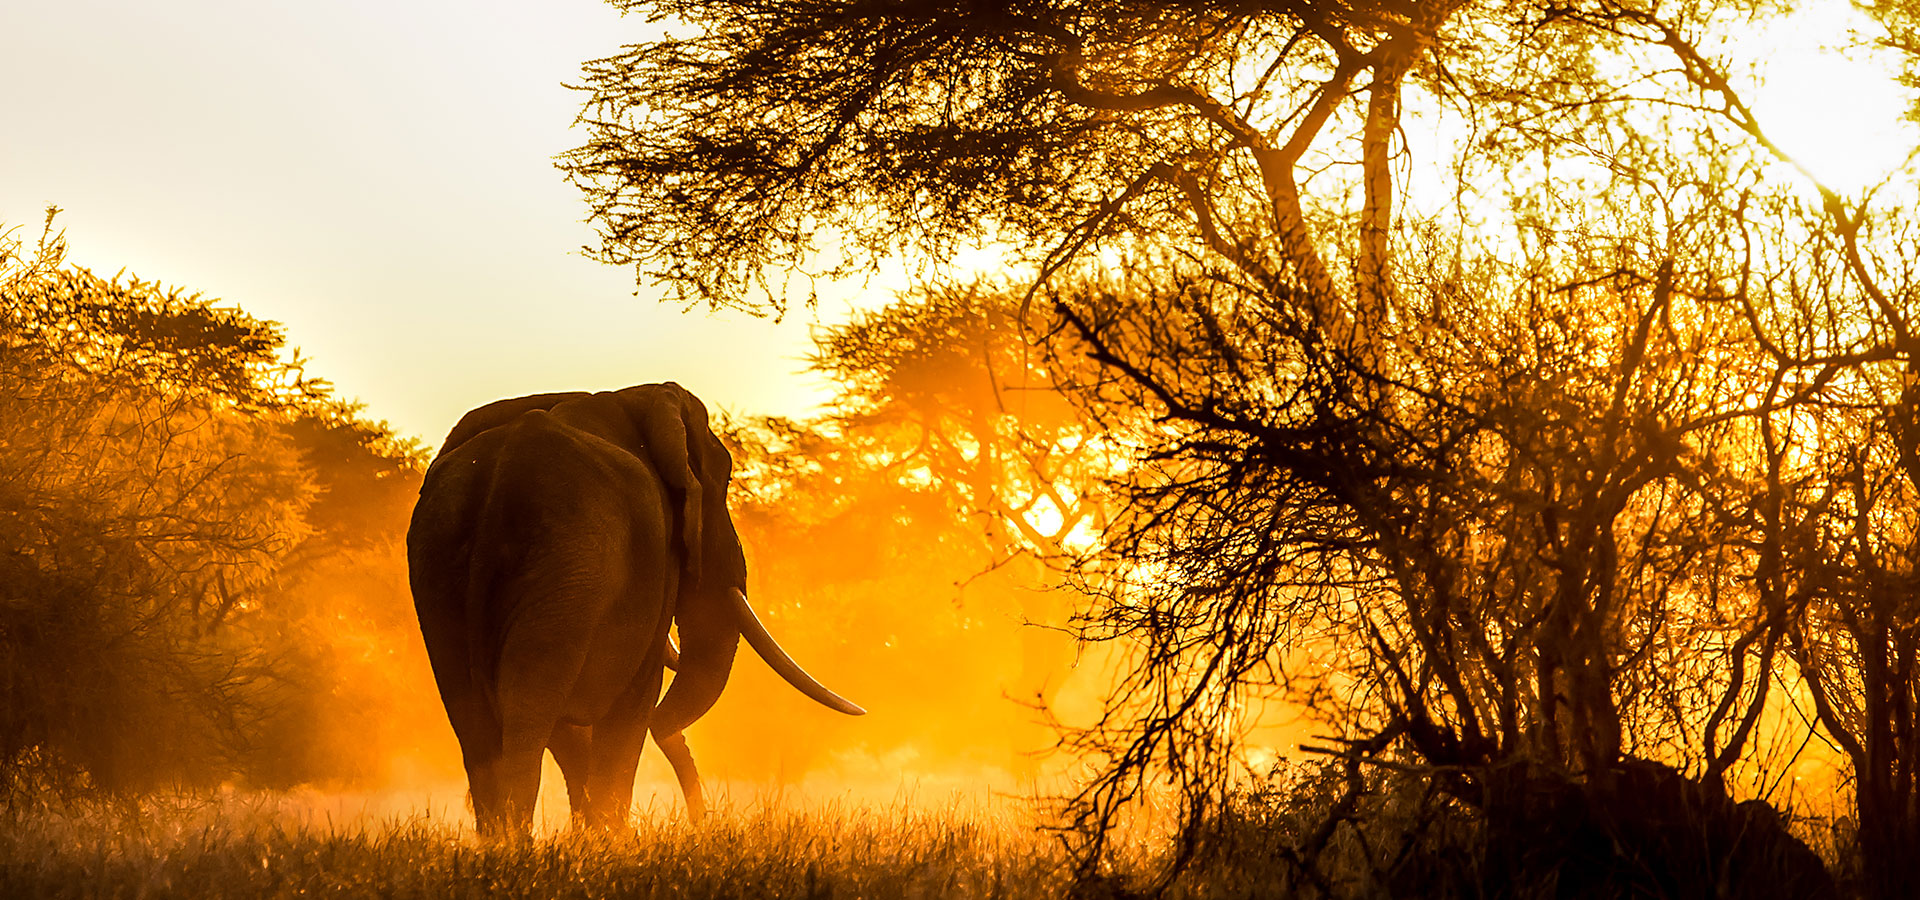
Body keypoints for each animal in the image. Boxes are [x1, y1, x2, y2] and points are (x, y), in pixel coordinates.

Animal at [407, 382, 863, 835]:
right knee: (530, 709)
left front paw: (593, 839)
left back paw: (500, 844)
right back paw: (517, 846)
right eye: (726, 481)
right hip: (564, 568)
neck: (631, 397)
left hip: (444, 568)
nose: (701, 823)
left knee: (474, 720)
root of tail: (498, 477)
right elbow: (635, 695)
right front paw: (611, 842)